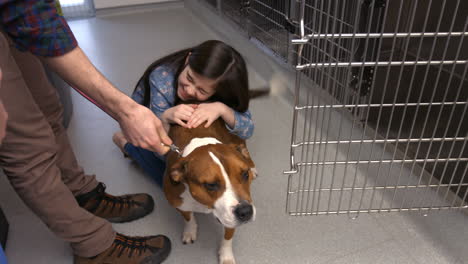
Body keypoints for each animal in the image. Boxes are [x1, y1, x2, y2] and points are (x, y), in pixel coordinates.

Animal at [163, 119, 258, 264]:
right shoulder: (179, 204)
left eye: (245, 174)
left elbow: (228, 237)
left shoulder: (229, 221)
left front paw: (226, 256)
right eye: (211, 185)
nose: (246, 211)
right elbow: (188, 217)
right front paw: (190, 230)